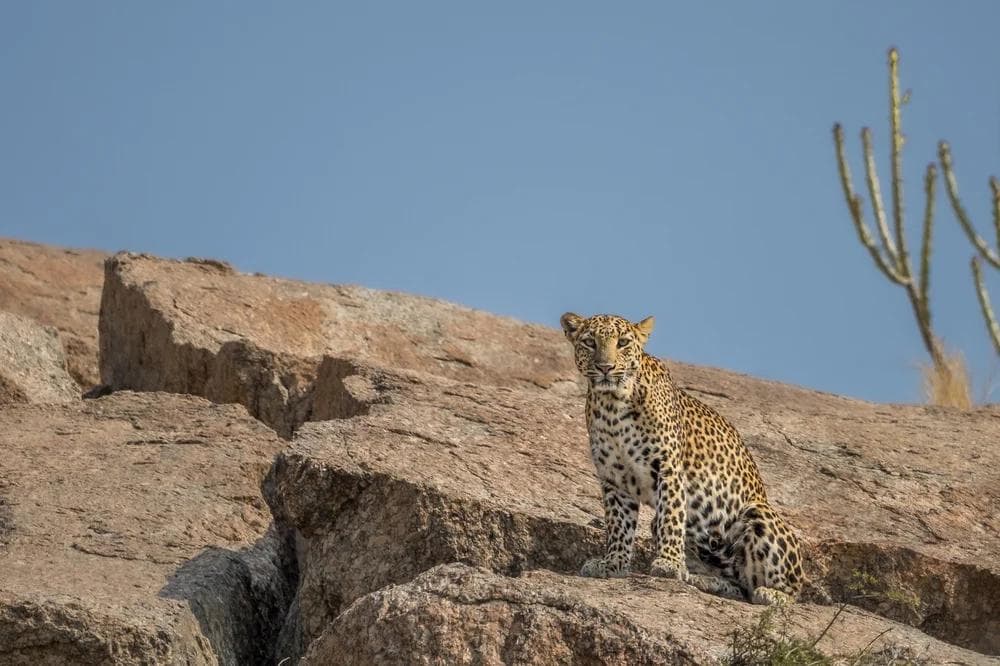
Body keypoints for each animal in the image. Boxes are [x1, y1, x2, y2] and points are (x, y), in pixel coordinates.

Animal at [560, 312, 803, 605]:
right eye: (589, 342)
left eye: (623, 343)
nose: (605, 367)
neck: (612, 405)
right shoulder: (614, 479)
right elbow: (619, 524)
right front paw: (613, 564)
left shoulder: (668, 469)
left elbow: (671, 517)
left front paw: (669, 563)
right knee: (738, 586)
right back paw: (704, 580)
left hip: (757, 512)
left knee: (783, 591)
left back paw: (771, 593)